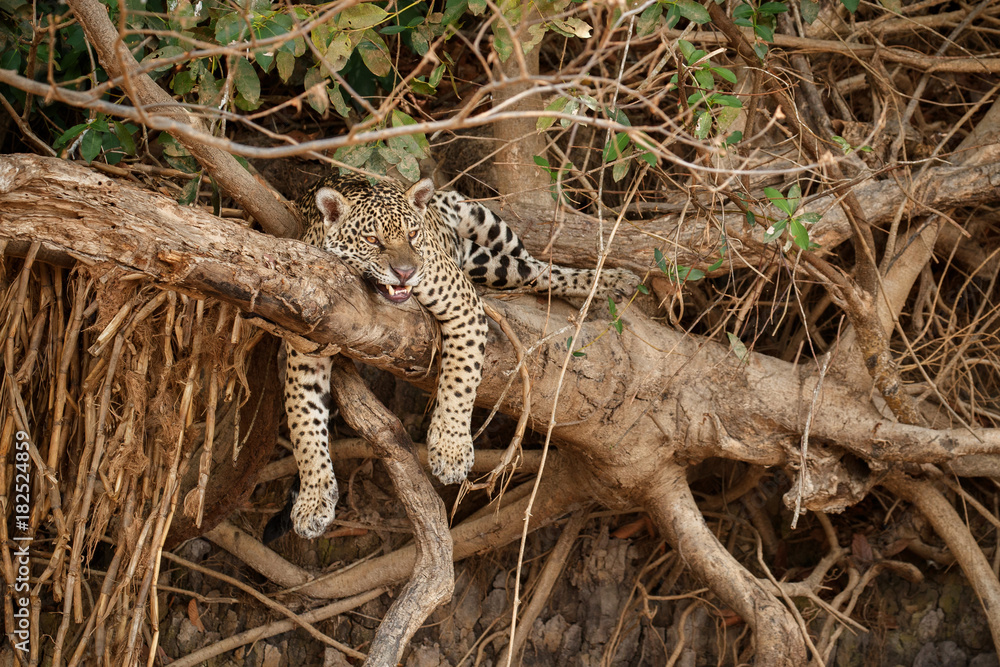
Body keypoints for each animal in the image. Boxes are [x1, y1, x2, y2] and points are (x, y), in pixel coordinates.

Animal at [284, 174, 637, 539]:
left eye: (413, 235)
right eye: (372, 239)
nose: (405, 272)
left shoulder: (463, 305)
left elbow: (460, 379)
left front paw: (451, 450)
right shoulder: (305, 344)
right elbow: (302, 421)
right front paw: (312, 500)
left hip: (488, 230)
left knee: (538, 267)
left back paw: (615, 281)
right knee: (533, 271)